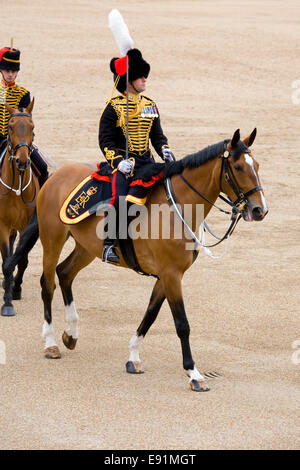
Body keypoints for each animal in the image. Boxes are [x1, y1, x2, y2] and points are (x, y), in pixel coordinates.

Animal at [6, 127, 268, 390]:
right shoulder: (171, 275)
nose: (260, 210)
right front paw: (194, 373)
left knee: (65, 273)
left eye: (256, 165)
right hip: (53, 240)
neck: (178, 207)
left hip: (86, 247)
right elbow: (182, 324)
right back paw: (50, 343)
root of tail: (56, 176)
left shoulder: (166, 276)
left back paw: (71, 334)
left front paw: (133, 357)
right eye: (238, 167)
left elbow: (150, 315)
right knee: (47, 284)